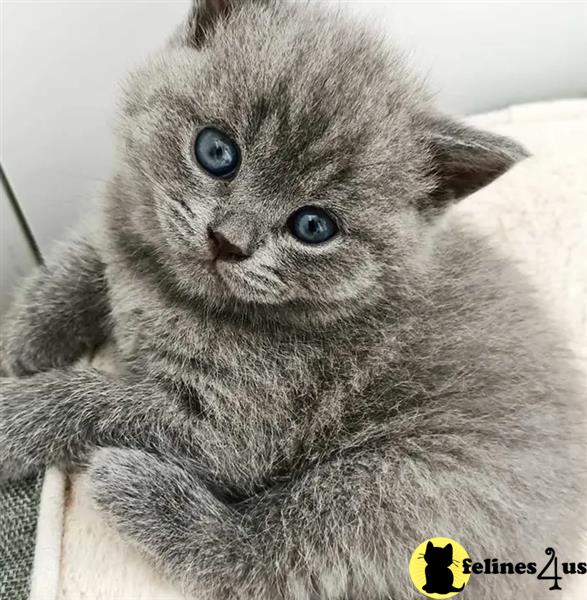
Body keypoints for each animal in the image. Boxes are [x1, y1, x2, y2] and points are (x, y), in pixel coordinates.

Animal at [1, 1, 587, 600]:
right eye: (216, 151)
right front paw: (29, 333)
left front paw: (14, 414)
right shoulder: (130, 222)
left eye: (313, 226)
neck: (177, 290)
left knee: (271, 557)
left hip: (401, 481)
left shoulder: (237, 427)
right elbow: (91, 253)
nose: (227, 241)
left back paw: (142, 490)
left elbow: (95, 399)